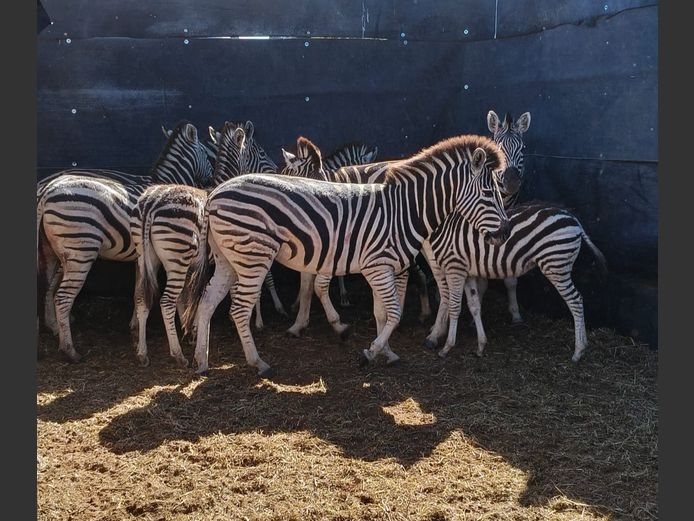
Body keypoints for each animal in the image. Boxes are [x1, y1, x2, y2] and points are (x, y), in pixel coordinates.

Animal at [37, 121, 213, 362]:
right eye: (205, 152)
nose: (212, 176)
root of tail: (47, 190)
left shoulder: (141, 257)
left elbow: (138, 291)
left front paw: (135, 327)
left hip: (53, 251)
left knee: (48, 288)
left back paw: (55, 328)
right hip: (80, 250)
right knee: (62, 297)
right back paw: (70, 350)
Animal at [183, 128, 511, 377]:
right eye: (488, 193)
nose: (505, 233)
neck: (405, 210)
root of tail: (214, 194)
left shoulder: (381, 267)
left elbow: (382, 313)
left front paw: (386, 351)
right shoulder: (378, 266)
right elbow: (392, 313)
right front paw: (369, 352)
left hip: (228, 259)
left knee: (207, 301)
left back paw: (202, 361)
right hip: (252, 256)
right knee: (238, 309)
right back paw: (258, 363)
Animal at [423, 202, 606, 362]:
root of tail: (573, 219)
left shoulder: (454, 268)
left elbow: (452, 303)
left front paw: (445, 345)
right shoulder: (466, 273)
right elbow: (474, 305)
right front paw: (480, 345)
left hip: (556, 265)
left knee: (576, 300)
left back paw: (578, 351)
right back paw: (583, 345)